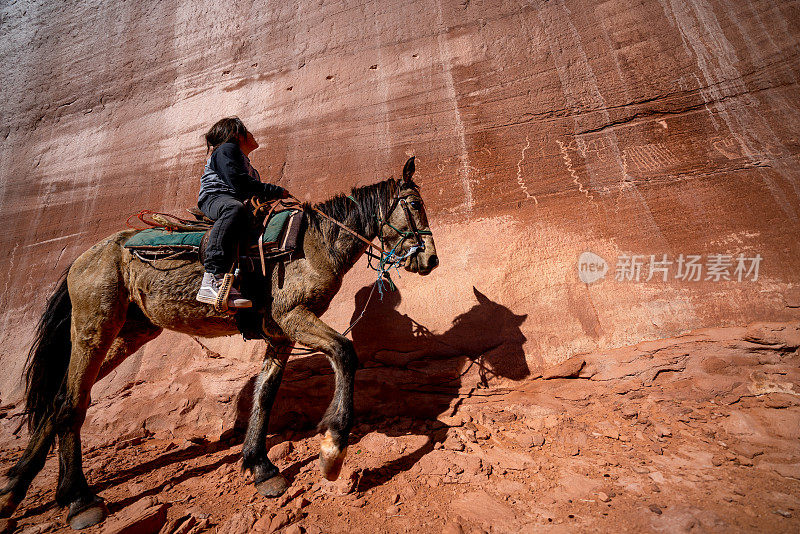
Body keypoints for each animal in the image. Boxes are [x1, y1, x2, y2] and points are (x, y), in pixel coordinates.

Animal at [0, 157, 438, 528]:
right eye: (415, 203)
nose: (430, 259)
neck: (313, 244)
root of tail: (82, 258)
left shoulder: (280, 332)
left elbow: (265, 394)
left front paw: (261, 467)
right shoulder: (294, 317)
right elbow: (345, 354)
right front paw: (332, 451)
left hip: (130, 332)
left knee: (60, 399)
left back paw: (14, 491)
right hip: (96, 326)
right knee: (71, 404)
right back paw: (78, 501)